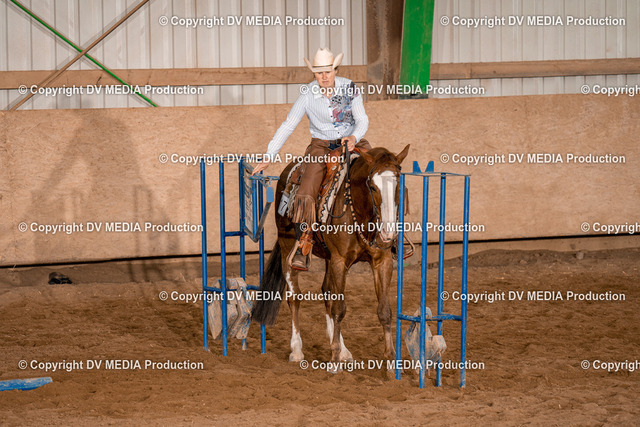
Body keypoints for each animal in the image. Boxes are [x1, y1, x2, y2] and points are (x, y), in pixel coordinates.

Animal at [252, 144, 410, 372]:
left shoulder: (382, 261)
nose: (388, 233)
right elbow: (339, 308)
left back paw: (343, 349)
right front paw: (334, 359)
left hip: (327, 256)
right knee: (295, 297)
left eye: (398, 186)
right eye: (372, 187)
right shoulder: (339, 260)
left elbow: (384, 310)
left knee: (327, 292)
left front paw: (390, 361)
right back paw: (297, 350)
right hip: (287, 246)